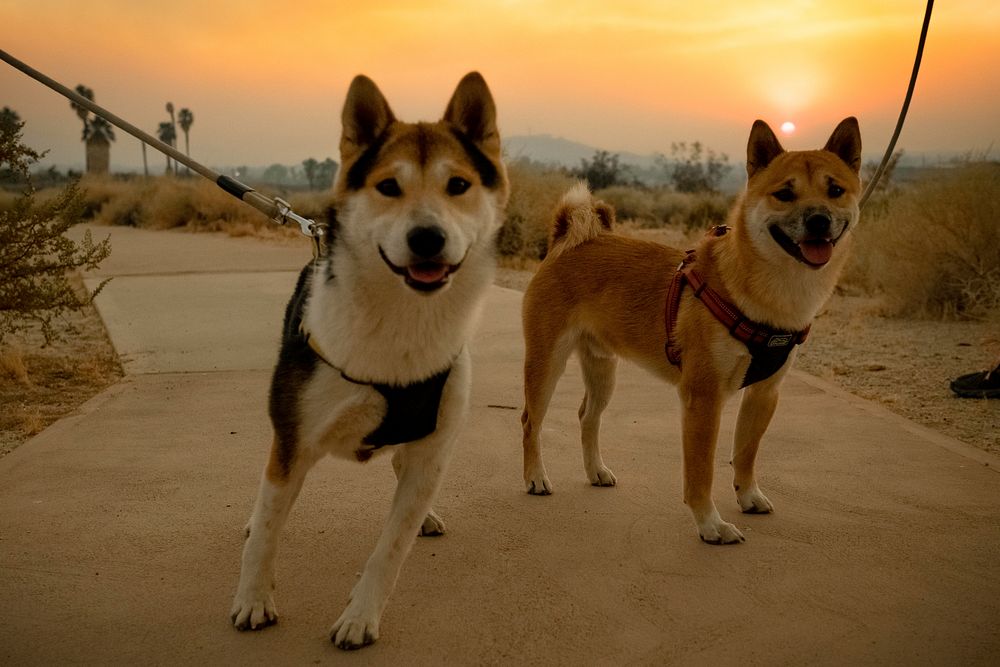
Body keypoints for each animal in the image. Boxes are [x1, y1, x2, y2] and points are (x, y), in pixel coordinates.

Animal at [229, 74, 508, 652]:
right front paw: (253, 599)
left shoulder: (432, 449)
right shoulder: (294, 441)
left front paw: (360, 617)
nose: (427, 238)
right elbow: (267, 531)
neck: (401, 321)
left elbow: (390, 549)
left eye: (458, 185)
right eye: (388, 187)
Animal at [524, 118, 860, 548]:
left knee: (587, 416)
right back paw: (535, 477)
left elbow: (746, 453)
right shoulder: (703, 398)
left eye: (835, 190)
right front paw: (710, 525)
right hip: (546, 364)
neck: (766, 293)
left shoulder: (764, 394)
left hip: (602, 371)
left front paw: (748, 496)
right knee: (531, 422)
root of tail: (566, 241)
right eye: (785, 194)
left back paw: (595, 471)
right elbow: (702, 472)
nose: (819, 219)